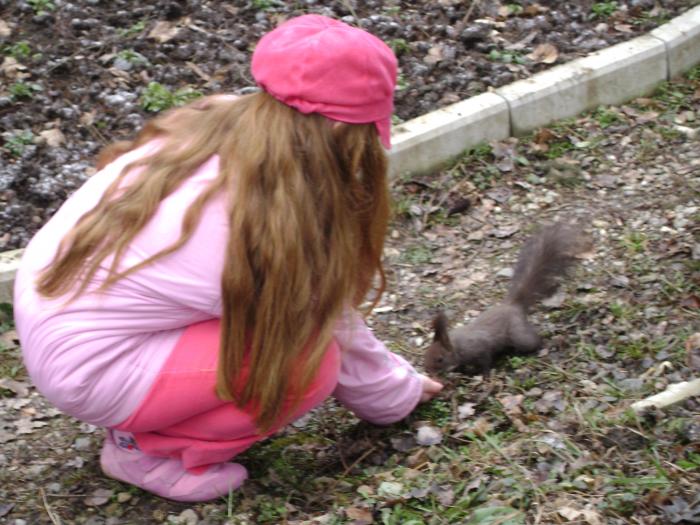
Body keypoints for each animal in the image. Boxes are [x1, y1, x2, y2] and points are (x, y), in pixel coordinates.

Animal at [424, 219, 588, 374]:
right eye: (426, 354)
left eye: (440, 359)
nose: (429, 371)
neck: (457, 346)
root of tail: (514, 305)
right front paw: (461, 370)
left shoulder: (480, 348)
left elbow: (485, 361)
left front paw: (484, 374)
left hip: (519, 335)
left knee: (532, 341)